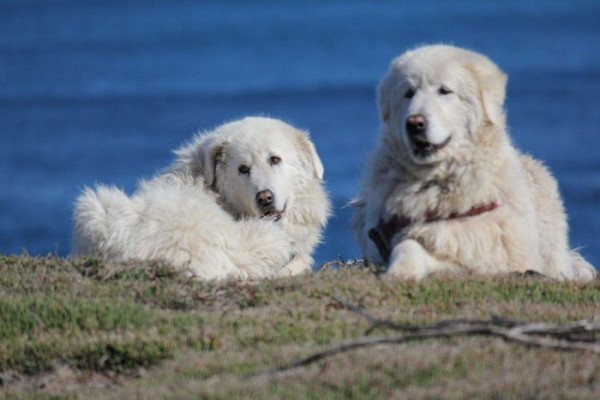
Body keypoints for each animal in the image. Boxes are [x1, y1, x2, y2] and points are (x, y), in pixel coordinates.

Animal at [352, 43, 596, 282]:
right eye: (408, 93)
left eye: (445, 91)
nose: (414, 123)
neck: (437, 184)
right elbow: (408, 246)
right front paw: (401, 270)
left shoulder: (494, 251)